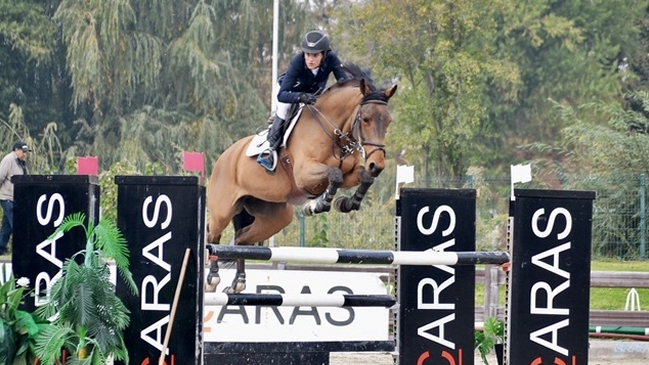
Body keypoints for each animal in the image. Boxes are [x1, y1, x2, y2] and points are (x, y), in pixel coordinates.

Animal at [205, 64, 394, 292]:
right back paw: (212, 279)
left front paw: (348, 203)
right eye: (366, 119)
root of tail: (224, 157)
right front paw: (318, 205)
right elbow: (335, 175)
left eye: (388, 121)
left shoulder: (351, 173)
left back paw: (238, 283)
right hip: (223, 210)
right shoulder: (305, 175)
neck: (333, 132)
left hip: (275, 216)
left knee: (241, 239)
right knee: (213, 236)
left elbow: (363, 177)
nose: (377, 165)